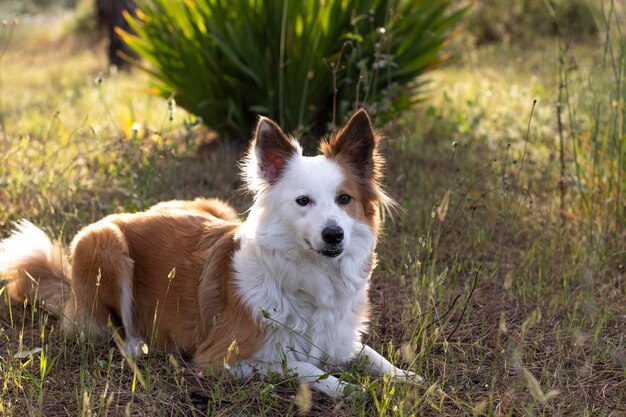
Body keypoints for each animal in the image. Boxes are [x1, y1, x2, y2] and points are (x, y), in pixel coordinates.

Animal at [1, 109, 420, 396]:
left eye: (344, 199)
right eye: (303, 201)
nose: (334, 235)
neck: (309, 278)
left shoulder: (339, 338)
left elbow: (369, 353)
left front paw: (406, 377)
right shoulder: (221, 360)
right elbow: (302, 366)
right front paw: (349, 388)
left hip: (215, 207)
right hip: (102, 241)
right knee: (115, 330)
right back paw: (138, 345)